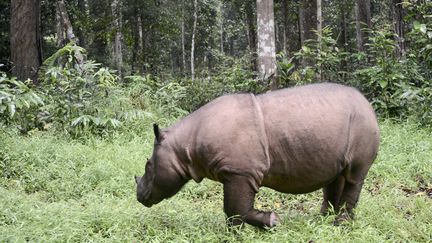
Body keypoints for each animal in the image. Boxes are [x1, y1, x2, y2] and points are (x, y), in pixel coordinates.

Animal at [134, 83, 378, 228]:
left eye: (148, 165)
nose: (139, 196)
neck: (183, 147)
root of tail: (368, 105)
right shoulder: (237, 171)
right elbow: (234, 210)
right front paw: (261, 225)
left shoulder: (240, 172)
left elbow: (234, 209)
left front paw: (267, 222)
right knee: (336, 175)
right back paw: (323, 220)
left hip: (362, 123)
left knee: (354, 176)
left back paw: (341, 224)